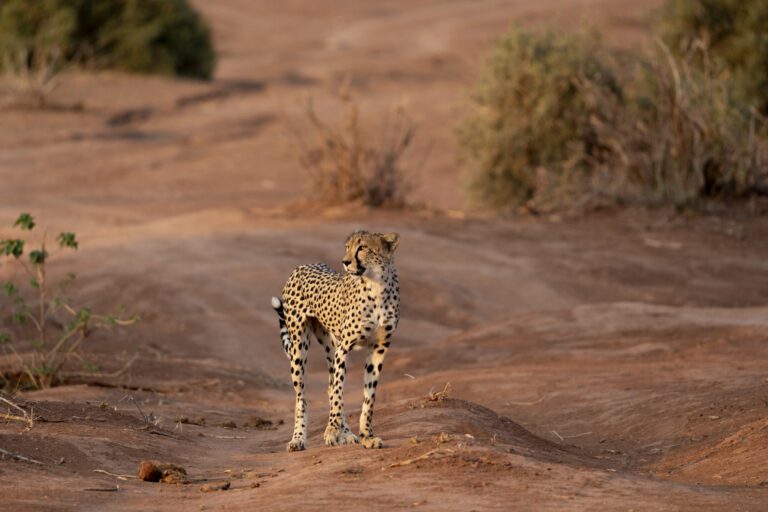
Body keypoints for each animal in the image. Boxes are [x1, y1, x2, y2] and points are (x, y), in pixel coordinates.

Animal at [271, 229, 400, 452]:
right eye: (347, 247)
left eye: (362, 247)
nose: (345, 261)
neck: (376, 285)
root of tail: (303, 266)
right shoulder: (344, 348)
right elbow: (338, 395)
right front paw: (332, 430)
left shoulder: (378, 348)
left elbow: (368, 397)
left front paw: (366, 436)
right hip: (300, 349)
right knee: (302, 397)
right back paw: (298, 438)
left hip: (331, 347)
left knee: (331, 386)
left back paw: (347, 434)